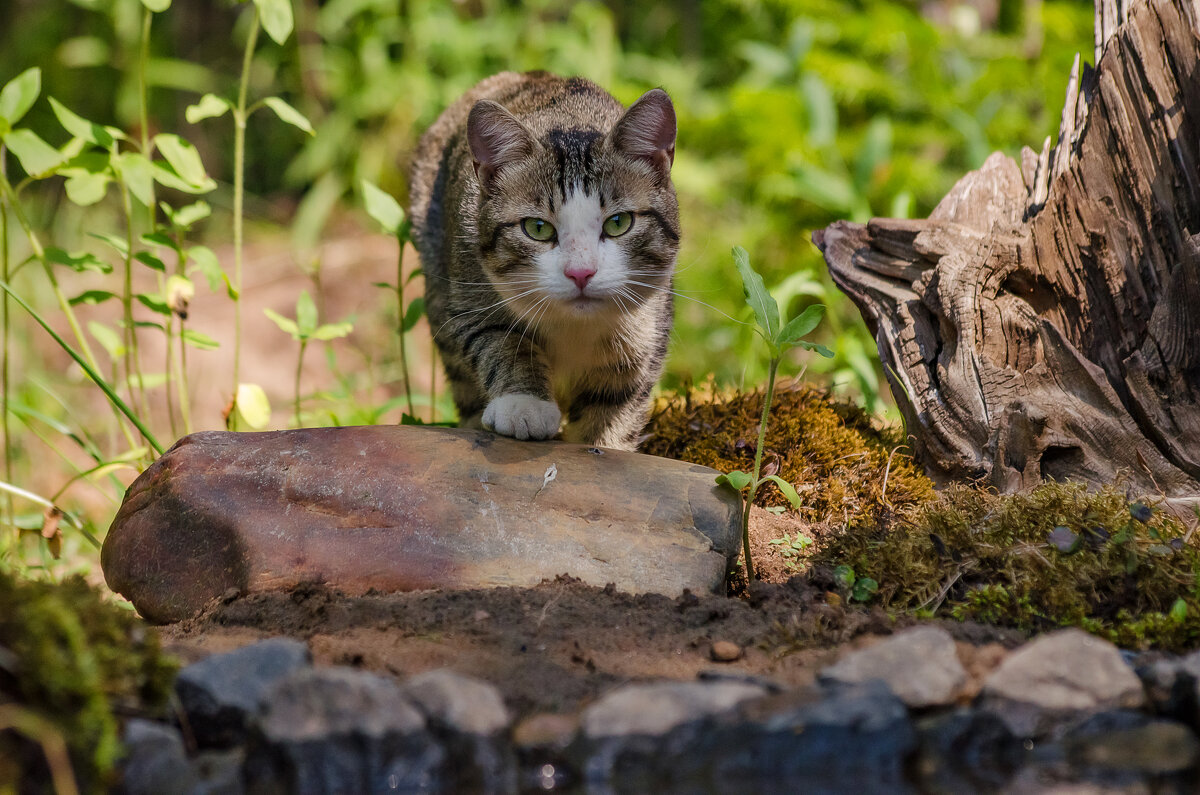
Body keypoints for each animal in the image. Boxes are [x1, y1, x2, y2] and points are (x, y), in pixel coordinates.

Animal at [410, 73, 681, 453]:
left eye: (619, 222)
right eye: (537, 228)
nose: (580, 272)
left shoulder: (648, 330)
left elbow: (617, 401)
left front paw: (606, 443)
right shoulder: (467, 293)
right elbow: (498, 338)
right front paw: (525, 404)